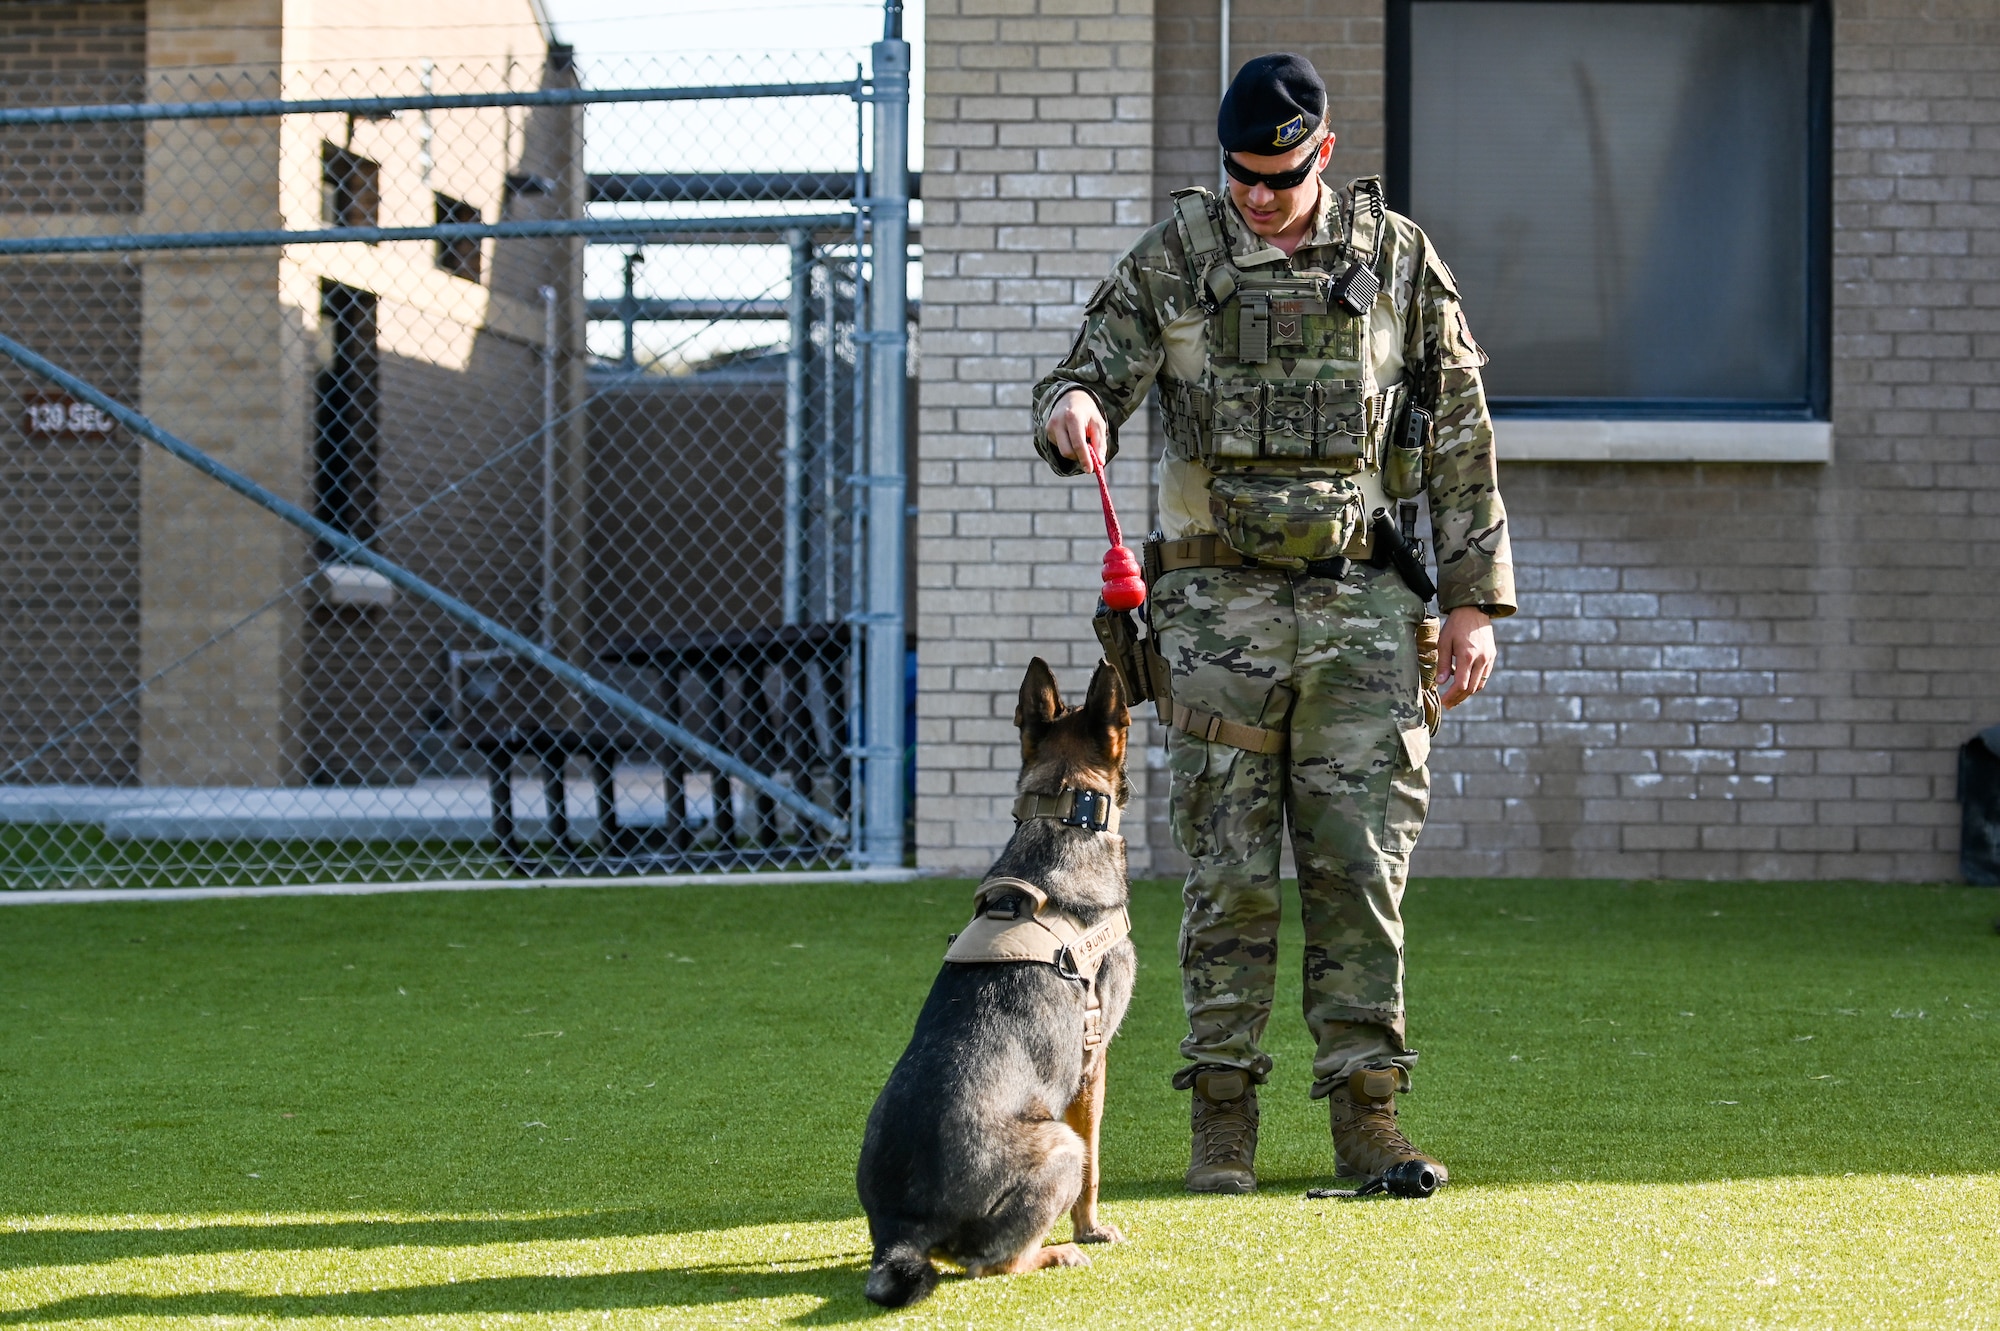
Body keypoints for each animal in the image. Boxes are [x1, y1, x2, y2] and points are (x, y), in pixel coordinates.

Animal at [860, 659, 1144, 1303]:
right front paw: (1091, 1230)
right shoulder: (1094, 1060)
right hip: (1058, 1146)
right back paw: (1057, 1253)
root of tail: (902, 1231)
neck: (1064, 820)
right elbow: (1095, 1164)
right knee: (993, 1264)